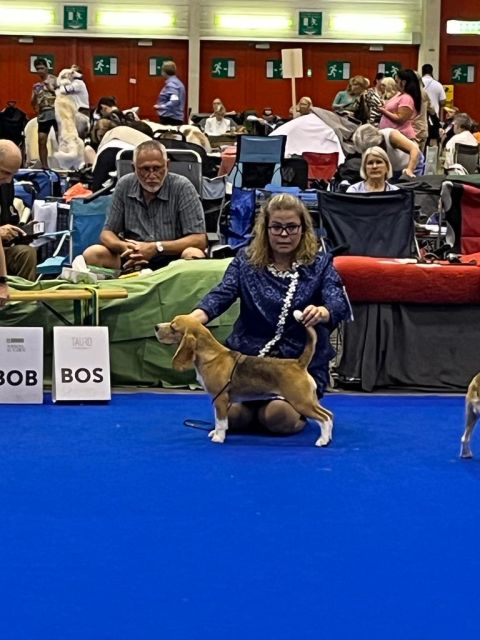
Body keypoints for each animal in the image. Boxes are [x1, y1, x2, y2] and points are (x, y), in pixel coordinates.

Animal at [155, 313, 334, 447]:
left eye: (173, 327)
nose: (156, 327)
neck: (210, 355)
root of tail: (298, 363)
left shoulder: (220, 399)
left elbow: (221, 421)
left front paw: (218, 438)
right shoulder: (221, 401)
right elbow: (219, 421)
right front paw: (215, 433)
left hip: (301, 402)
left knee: (323, 418)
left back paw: (322, 441)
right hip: (309, 400)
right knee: (329, 414)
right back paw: (328, 437)